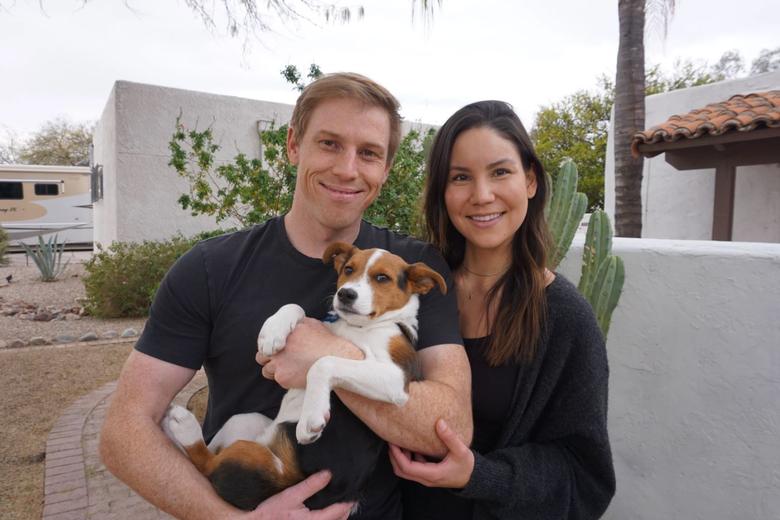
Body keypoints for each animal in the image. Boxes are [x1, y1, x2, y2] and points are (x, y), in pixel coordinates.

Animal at [160, 242, 444, 510]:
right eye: (348, 270)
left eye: (382, 278)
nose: (345, 294)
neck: (359, 326)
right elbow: (294, 306)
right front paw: (273, 332)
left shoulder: (394, 377)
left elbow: (322, 362)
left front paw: (312, 417)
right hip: (245, 422)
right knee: (207, 458)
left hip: (260, 463)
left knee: (207, 466)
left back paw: (183, 425)